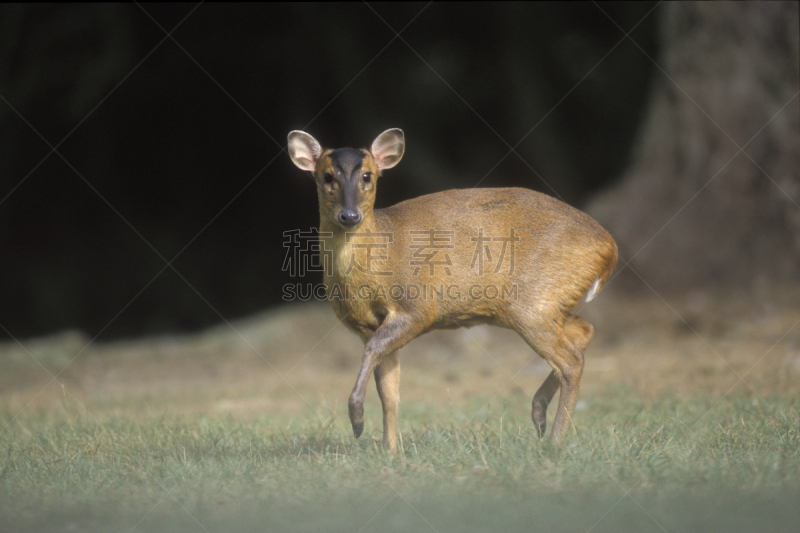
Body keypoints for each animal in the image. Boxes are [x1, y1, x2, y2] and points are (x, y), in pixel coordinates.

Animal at [288, 129, 620, 454]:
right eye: (326, 176)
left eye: (368, 176)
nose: (349, 215)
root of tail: (609, 248)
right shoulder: (366, 324)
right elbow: (389, 391)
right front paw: (390, 452)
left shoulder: (418, 306)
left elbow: (374, 354)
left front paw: (357, 420)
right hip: (545, 303)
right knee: (584, 331)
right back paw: (539, 414)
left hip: (532, 302)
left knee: (571, 361)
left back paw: (554, 440)